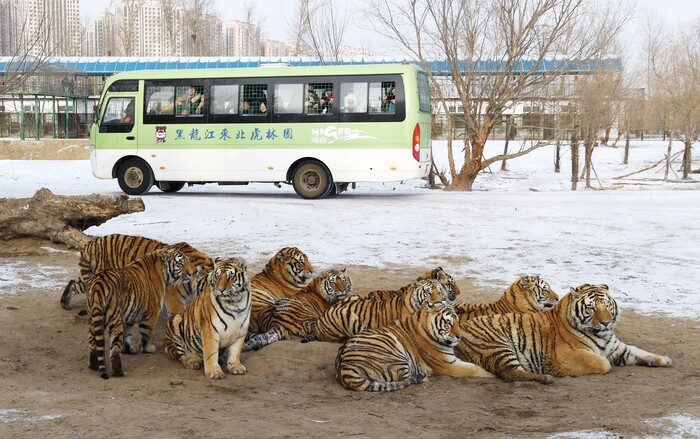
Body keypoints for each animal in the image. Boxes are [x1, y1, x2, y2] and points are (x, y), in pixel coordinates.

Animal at [86, 248, 193, 379]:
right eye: (180, 263)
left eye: (188, 262)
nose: (191, 274)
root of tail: (97, 284)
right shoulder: (151, 313)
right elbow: (146, 334)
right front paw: (148, 349)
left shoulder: (129, 316)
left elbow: (128, 334)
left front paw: (128, 349)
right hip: (114, 320)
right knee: (114, 350)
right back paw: (119, 373)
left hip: (92, 319)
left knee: (93, 344)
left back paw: (93, 366)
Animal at [335, 300, 493, 392]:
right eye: (448, 323)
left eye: (458, 322)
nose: (459, 336)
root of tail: (344, 368)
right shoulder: (449, 365)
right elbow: (475, 369)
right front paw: (491, 375)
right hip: (395, 350)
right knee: (405, 378)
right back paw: (422, 376)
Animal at [454, 284, 673, 384]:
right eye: (592, 308)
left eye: (607, 305)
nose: (606, 322)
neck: (602, 335)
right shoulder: (568, 355)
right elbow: (604, 363)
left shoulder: (617, 348)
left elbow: (640, 352)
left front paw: (664, 359)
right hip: (498, 344)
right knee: (509, 372)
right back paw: (545, 378)